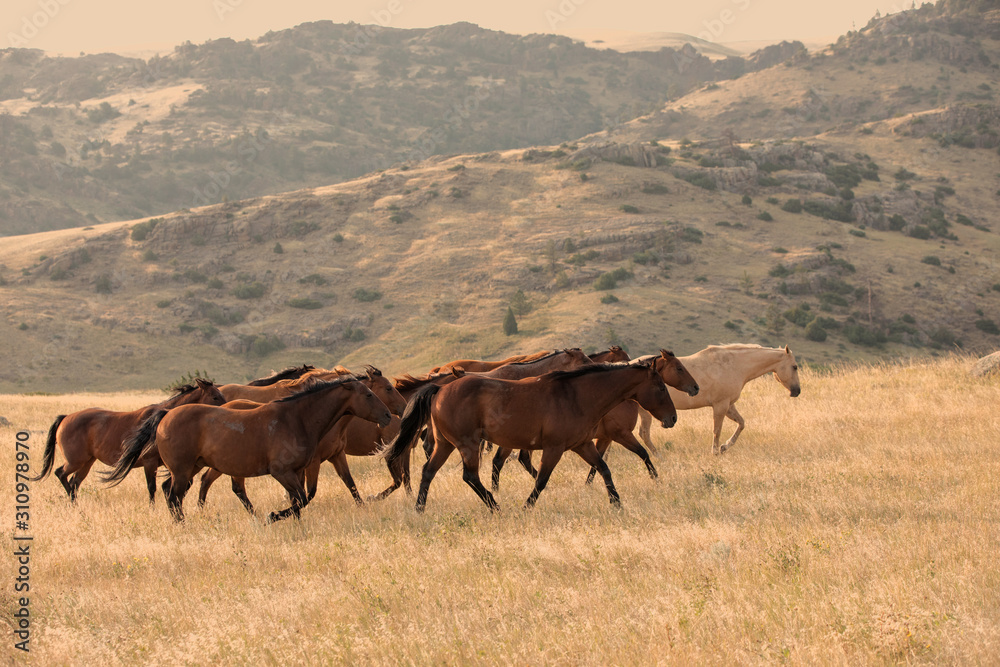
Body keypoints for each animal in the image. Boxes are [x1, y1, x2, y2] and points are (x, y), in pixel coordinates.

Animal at [30, 379, 226, 503]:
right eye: (215, 396)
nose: (226, 409)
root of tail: (65, 417)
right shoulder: (150, 463)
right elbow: (152, 488)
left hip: (87, 463)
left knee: (74, 483)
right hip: (75, 461)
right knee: (61, 474)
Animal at [103, 376, 392, 523]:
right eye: (368, 394)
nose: (388, 416)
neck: (295, 418)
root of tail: (166, 415)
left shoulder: (297, 471)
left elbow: (301, 500)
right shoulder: (281, 472)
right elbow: (300, 499)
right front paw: (272, 515)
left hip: (192, 467)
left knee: (170, 492)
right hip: (184, 470)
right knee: (174, 496)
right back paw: (182, 524)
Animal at [196, 366, 408, 513]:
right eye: (388, 388)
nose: (401, 409)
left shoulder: (337, 455)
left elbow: (350, 484)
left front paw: (364, 505)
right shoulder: (313, 462)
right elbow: (309, 492)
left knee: (213, 481)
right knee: (220, 483)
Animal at [383, 356, 679, 513]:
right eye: (662, 387)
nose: (672, 418)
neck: (577, 395)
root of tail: (440, 389)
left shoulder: (583, 445)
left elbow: (604, 469)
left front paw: (616, 503)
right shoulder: (554, 448)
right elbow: (541, 480)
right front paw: (527, 507)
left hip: (445, 444)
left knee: (428, 472)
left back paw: (420, 509)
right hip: (467, 445)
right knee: (470, 476)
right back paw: (495, 506)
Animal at [635, 344, 801, 455]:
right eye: (795, 367)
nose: (797, 391)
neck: (733, 365)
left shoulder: (729, 405)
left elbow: (741, 423)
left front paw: (724, 447)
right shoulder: (720, 405)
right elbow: (717, 430)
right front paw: (715, 451)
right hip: (646, 412)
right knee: (644, 433)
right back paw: (658, 455)